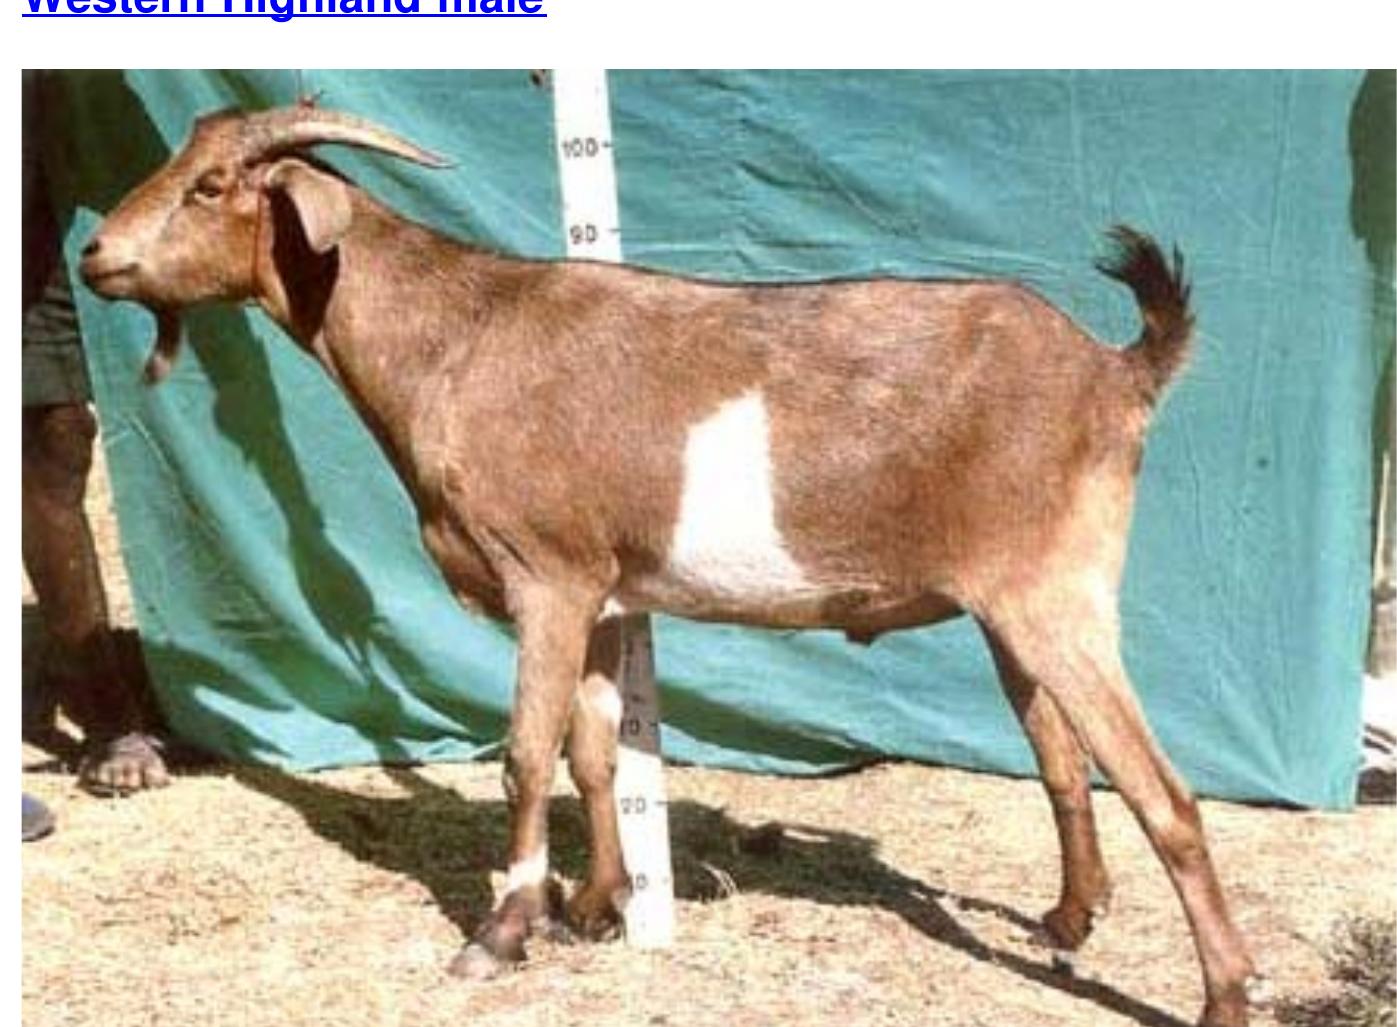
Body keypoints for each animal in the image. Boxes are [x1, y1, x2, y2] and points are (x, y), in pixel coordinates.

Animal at [80, 104, 1260, 1027]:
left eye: (213, 184)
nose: (95, 258)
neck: (458, 339)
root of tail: (1116, 373)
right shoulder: (603, 591)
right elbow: (595, 751)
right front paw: (598, 904)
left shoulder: (545, 576)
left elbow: (524, 753)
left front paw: (502, 928)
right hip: (1010, 607)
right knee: (1062, 756)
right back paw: (1069, 916)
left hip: (1053, 593)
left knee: (1165, 795)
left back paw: (1221, 992)